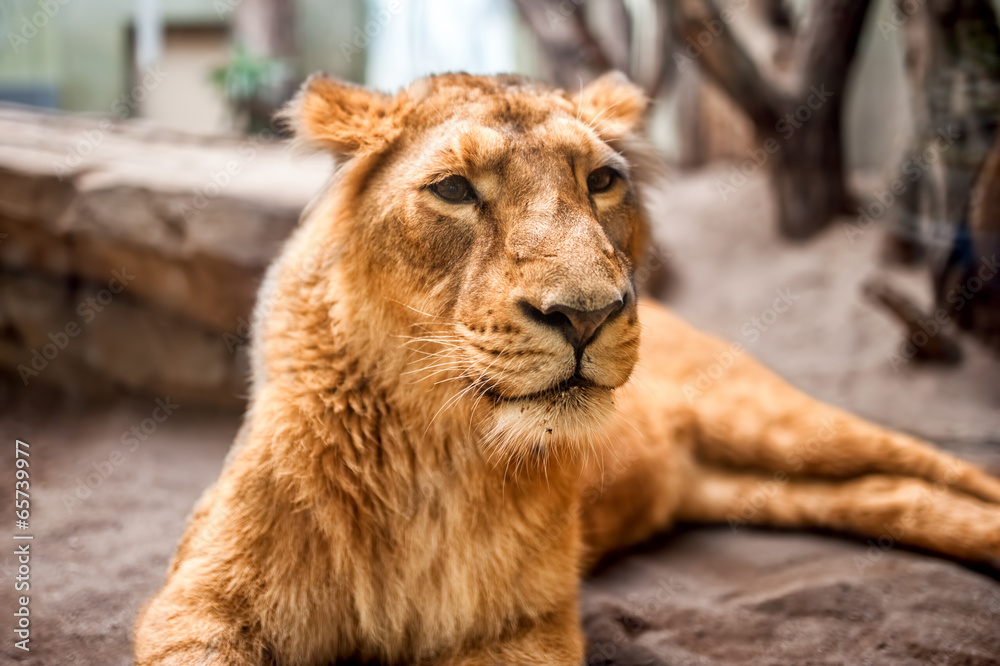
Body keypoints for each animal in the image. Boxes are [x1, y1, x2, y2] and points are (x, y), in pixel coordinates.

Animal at [134, 72, 1000, 665]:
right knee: (896, 497)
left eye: (602, 180)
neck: (431, 445)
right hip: (755, 484)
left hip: (773, 421)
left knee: (938, 470)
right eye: (454, 189)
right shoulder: (198, 601)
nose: (587, 314)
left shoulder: (529, 624)